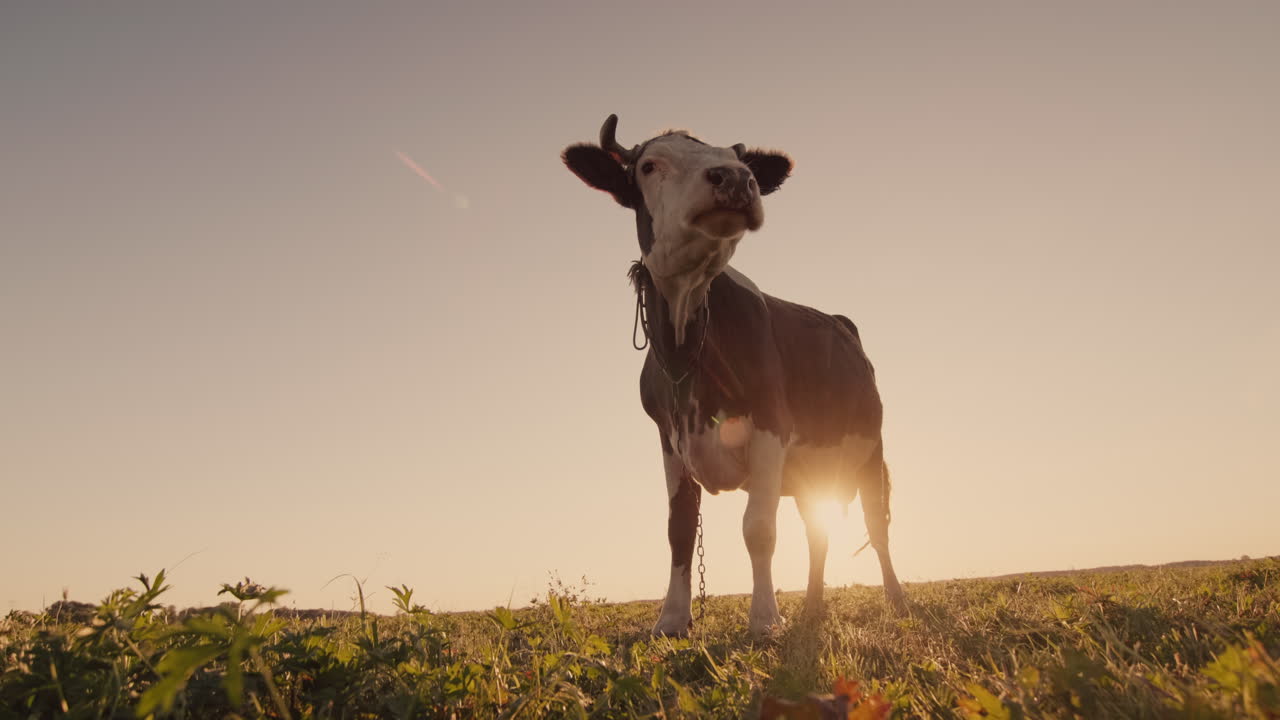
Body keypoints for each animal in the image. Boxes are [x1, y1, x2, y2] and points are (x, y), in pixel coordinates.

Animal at [562, 115, 905, 636]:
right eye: (648, 165)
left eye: (739, 161)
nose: (737, 180)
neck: (687, 347)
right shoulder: (671, 439)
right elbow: (680, 529)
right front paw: (672, 619)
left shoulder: (769, 424)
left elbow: (758, 528)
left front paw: (764, 619)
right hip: (813, 472)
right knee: (819, 530)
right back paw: (812, 606)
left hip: (871, 451)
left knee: (877, 524)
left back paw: (895, 599)